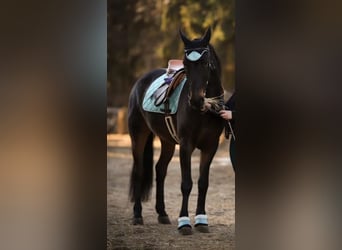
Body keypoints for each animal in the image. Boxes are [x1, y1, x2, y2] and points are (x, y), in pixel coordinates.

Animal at [127, 28, 224, 235]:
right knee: (140, 170)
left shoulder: (210, 147)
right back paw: (137, 215)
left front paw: (202, 221)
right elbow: (186, 184)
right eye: (186, 64)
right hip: (138, 135)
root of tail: (140, 81)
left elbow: (203, 183)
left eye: (205, 62)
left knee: (160, 170)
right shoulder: (186, 145)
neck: (204, 111)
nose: (196, 100)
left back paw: (162, 213)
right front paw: (185, 223)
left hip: (167, 142)